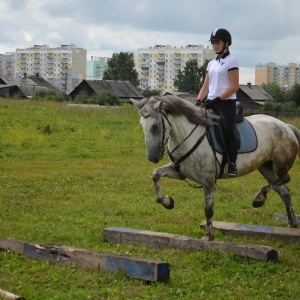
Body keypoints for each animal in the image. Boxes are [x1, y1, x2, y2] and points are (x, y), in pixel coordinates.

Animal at [132, 95, 300, 240]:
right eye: (141, 125)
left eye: (155, 126)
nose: (152, 157)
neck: (188, 137)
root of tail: (286, 126)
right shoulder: (179, 172)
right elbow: (156, 174)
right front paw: (167, 202)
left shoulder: (208, 181)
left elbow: (208, 209)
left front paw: (208, 235)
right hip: (266, 167)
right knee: (284, 191)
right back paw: (291, 223)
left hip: (279, 165)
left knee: (284, 180)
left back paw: (259, 199)